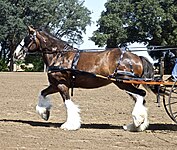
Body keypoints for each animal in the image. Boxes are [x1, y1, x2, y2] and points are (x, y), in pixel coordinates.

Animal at [13, 26, 154, 132]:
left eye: (26, 39)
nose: (15, 54)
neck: (60, 56)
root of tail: (137, 57)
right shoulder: (55, 85)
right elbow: (42, 93)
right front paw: (44, 113)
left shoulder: (62, 85)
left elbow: (68, 104)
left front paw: (69, 125)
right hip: (127, 85)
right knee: (140, 98)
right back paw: (136, 125)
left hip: (125, 84)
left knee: (141, 95)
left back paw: (137, 121)